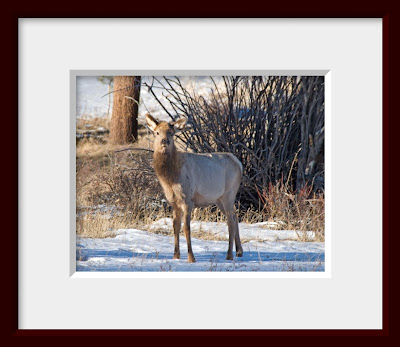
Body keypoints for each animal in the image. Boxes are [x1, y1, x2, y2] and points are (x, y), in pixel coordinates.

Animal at [145, 114, 242, 264]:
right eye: (157, 132)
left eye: (171, 133)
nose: (164, 141)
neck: (170, 179)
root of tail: (239, 163)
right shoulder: (174, 202)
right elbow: (175, 226)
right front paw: (175, 256)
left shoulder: (187, 200)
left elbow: (186, 228)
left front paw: (191, 257)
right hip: (219, 199)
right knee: (235, 215)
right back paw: (239, 251)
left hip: (229, 193)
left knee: (230, 221)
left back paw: (229, 254)